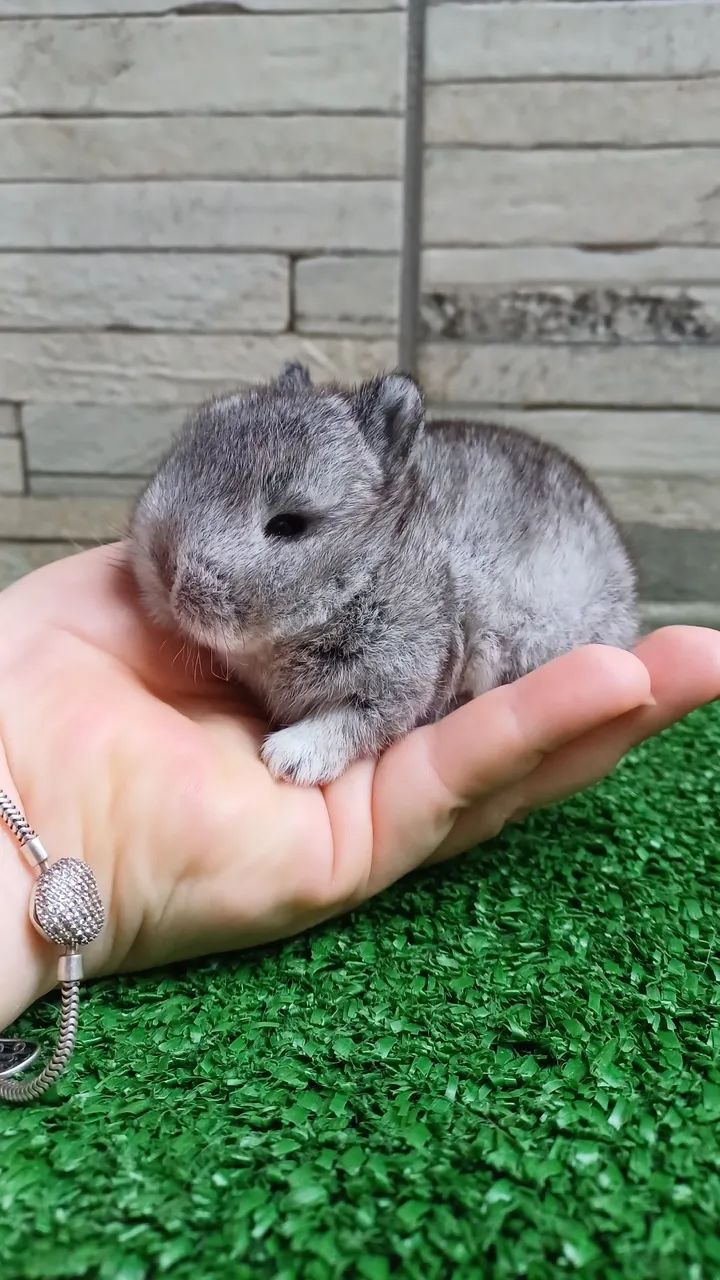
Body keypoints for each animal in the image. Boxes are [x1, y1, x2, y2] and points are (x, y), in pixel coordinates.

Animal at [128, 362, 638, 786]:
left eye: (288, 525)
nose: (164, 567)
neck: (369, 568)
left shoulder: (402, 679)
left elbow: (353, 722)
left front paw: (289, 759)